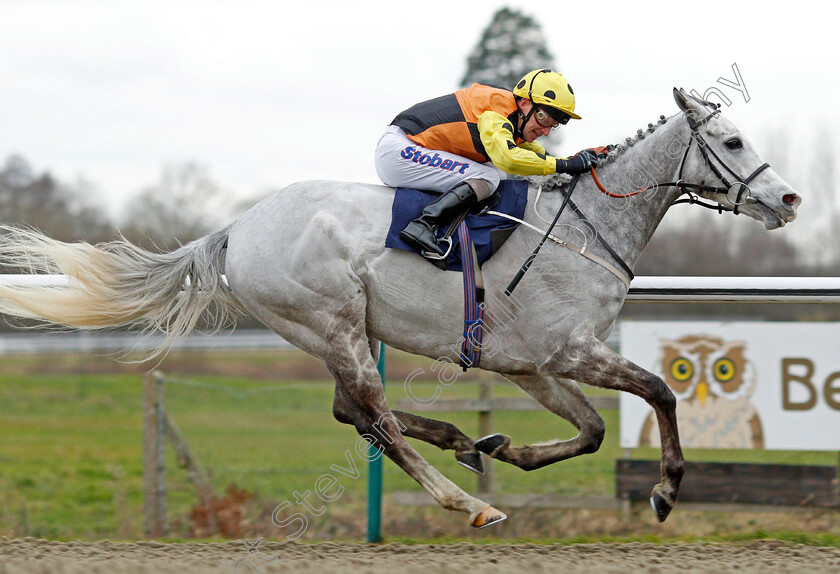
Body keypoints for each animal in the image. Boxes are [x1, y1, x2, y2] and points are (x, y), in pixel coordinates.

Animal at [0, 89, 800, 532]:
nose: (788, 198)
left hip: (331, 331)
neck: (585, 225)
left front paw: (507, 448)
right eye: (732, 141)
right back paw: (466, 501)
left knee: (350, 411)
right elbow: (661, 391)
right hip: (333, 323)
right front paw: (665, 489)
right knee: (376, 418)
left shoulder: (532, 365)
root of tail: (239, 227)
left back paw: (461, 441)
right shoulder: (568, 350)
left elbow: (594, 430)